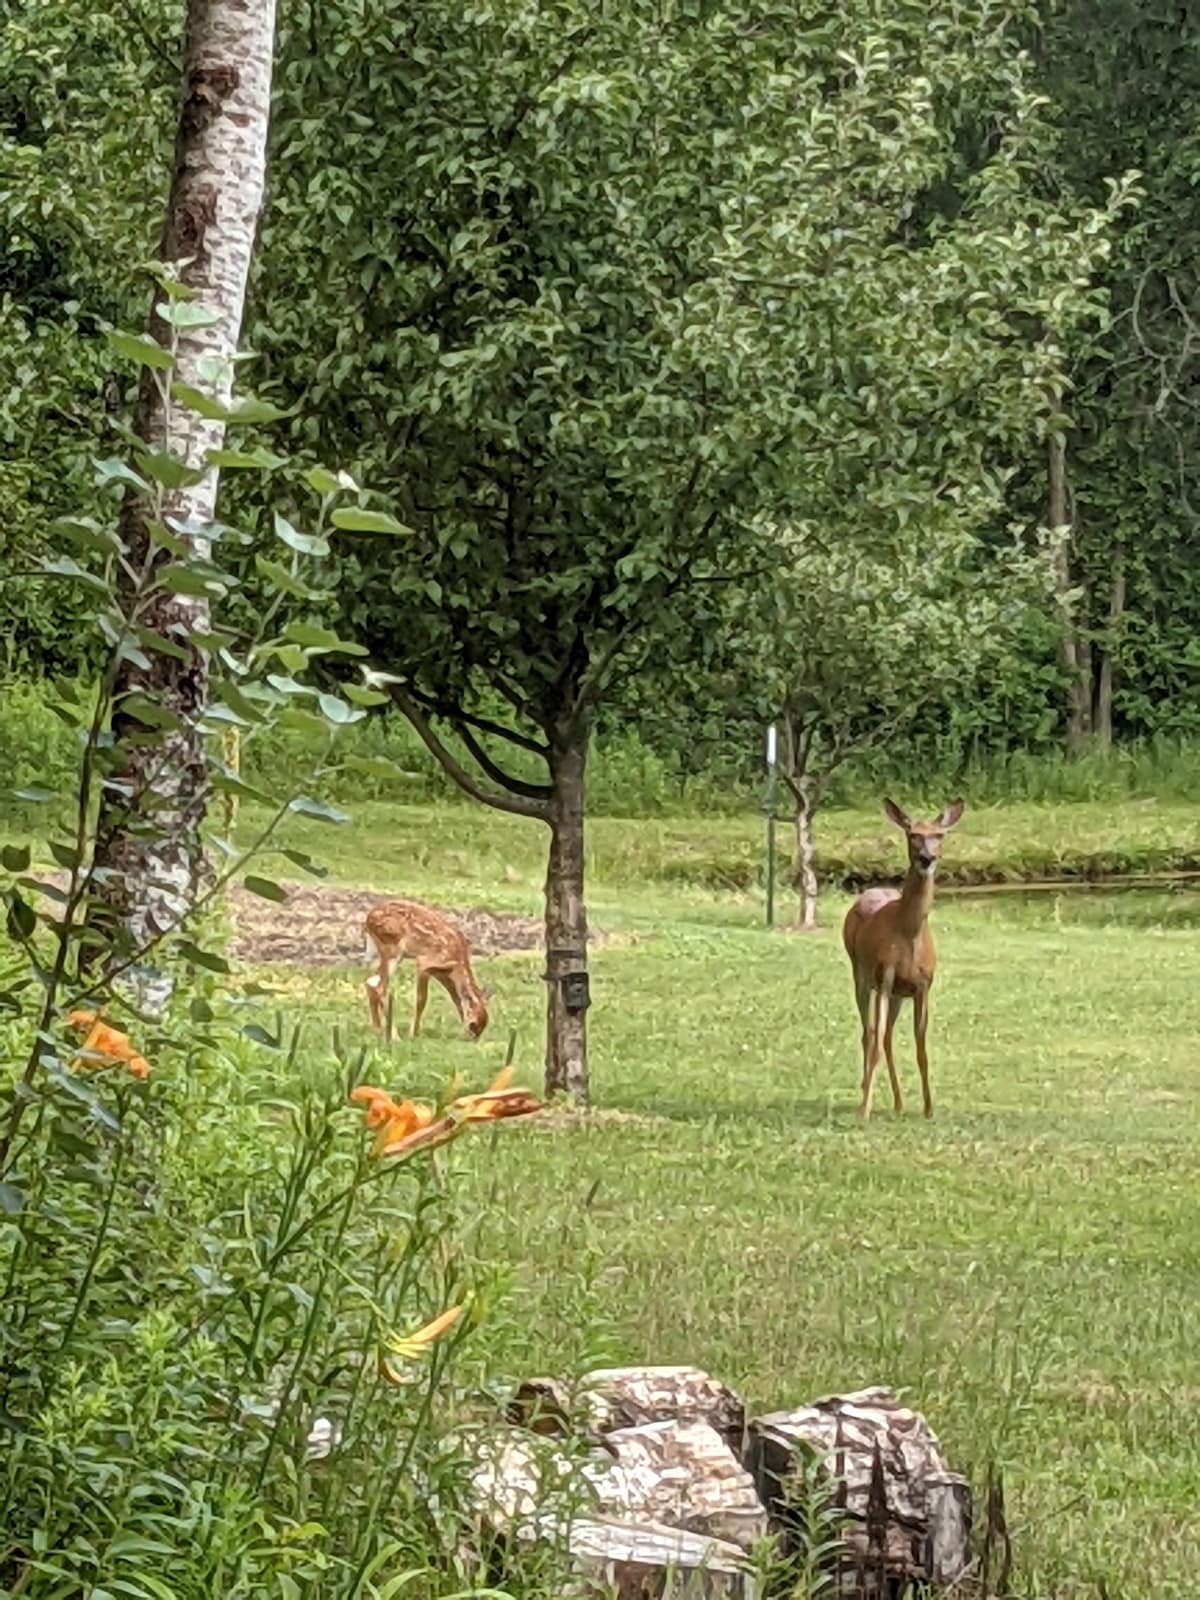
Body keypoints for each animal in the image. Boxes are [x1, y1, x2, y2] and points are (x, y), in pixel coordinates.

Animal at [361, 902, 489, 1036]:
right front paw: (413, 1034)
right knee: (379, 986)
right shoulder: (424, 962)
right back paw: (394, 1036)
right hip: (392, 947)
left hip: (377, 950)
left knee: (370, 982)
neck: (457, 960)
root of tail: (368, 919)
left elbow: (456, 999)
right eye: (474, 1024)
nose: (473, 1037)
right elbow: (421, 999)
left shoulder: (441, 973)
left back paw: (377, 1030)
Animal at [844, 800, 966, 1126]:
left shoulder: (923, 986)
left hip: (899, 994)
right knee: (869, 1033)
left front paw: (928, 1109)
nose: (927, 858)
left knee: (885, 1036)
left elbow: (921, 1048)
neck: (908, 932)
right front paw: (864, 1109)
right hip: (861, 975)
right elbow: (875, 1043)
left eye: (939, 834)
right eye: (913, 834)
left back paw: (898, 1103)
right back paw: (864, 1091)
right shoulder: (885, 978)